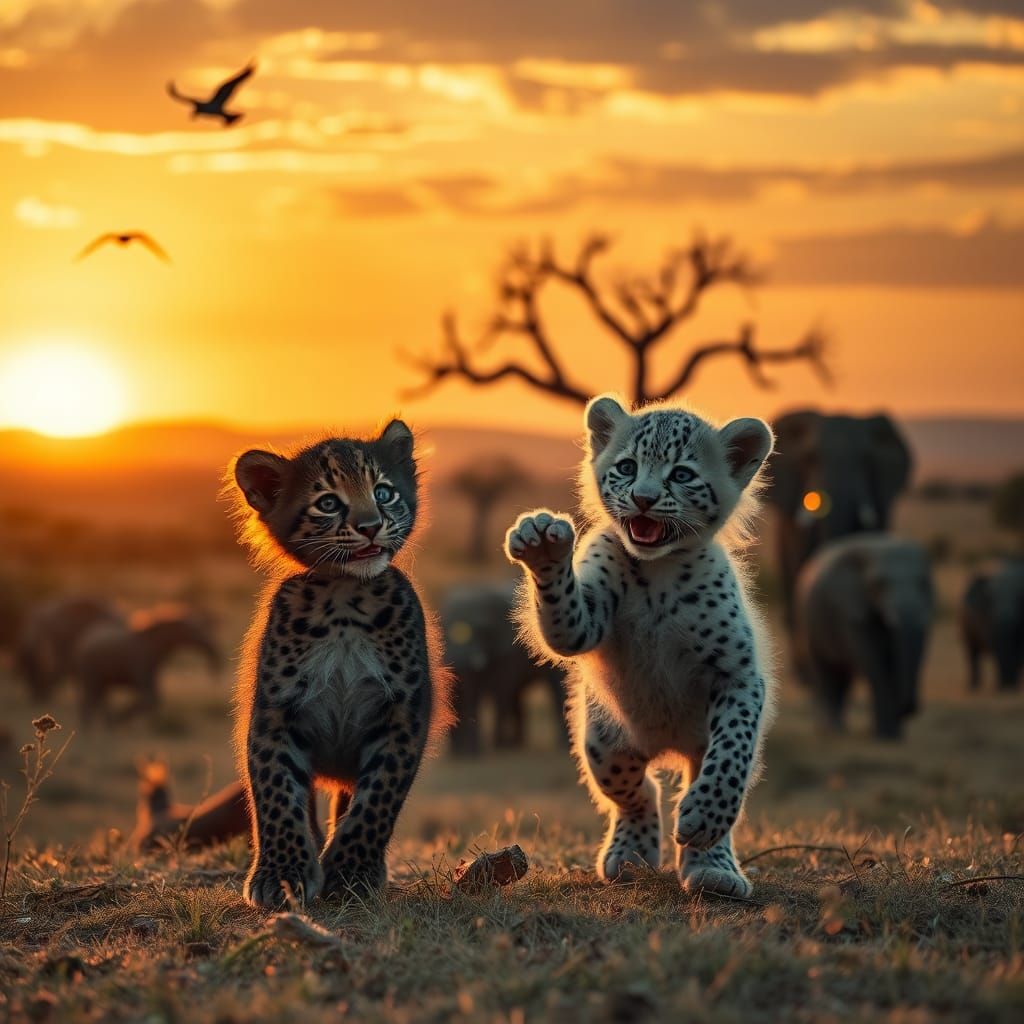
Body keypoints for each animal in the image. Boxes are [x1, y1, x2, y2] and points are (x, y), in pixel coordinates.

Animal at [73, 605, 221, 727]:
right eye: (194, 630)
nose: (213, 671)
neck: (152, 645)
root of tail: (83, 643)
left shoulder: (150, 677)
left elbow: (154, 700)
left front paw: (116, 721)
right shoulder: (140, 669)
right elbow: (150, 700)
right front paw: (118, 720)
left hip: (102, 681)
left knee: (97, 703)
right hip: (91, 677)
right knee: (87, 705)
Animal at [228, 419, 451, 909]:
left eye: (384, 492)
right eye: (328, 503)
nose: (370, 526)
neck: (345, 597)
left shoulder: (403, 713)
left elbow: (377, 799)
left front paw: (351, 872)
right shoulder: (275, 712)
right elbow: (277, 795)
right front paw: (282, 874)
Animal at [505, 394, 777, 898]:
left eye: (682, 474)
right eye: (627, 467)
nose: (644, 498)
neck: (657, 573)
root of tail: (664, 742)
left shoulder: (738, 674)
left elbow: (732, 752)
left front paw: (705, 818)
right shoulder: (585, 623)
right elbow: (567, 621)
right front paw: (543, 546)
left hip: (698, 743)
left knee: (707, 778)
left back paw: (712, 868)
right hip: (604, 742)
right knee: (638, 793)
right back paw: (629, 857)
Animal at [793, 534, 934, 739]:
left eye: (923, 583)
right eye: (879, 584)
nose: (911, 708)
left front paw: (893, 736)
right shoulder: (851, 611)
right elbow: (875, 664)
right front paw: (886, 738)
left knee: (843, 677)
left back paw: (838, 728)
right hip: (805, 619)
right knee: (823, 674)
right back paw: (830, 731)